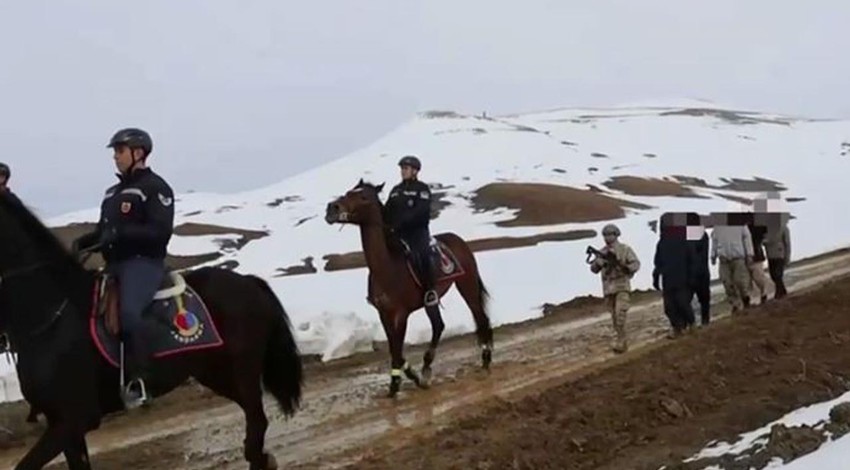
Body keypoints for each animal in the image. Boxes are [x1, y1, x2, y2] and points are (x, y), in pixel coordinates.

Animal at [0, 192, 302, 470]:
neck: (52, 318)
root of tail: (248, 282)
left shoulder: (74, 419)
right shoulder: (63, 424)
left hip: (242, 369)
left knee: (257, 419)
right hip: (216, 373)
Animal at [326, 179, 496, 396]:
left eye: (363, 196)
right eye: (349, 192)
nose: (332, 208)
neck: (387, 267)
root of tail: (458, 240)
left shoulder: (401, 314)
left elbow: (397, 348)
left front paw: (402, 381)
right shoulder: (384, 314)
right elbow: (394, 349)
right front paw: (405, 377)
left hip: (465, 285)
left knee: (475, 317)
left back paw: (482, 358)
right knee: (439, 325)